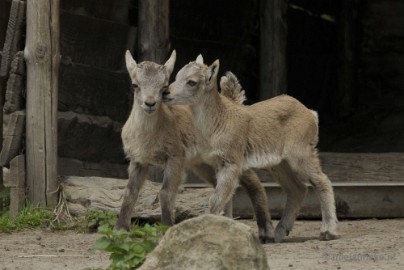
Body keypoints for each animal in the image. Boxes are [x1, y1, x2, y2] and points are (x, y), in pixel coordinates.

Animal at [117, 51, 274, 243]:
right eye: (135, 84)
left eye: (164, 85)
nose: (150, 103)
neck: (151, 136)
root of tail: (232, 102)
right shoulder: (138, 160)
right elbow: (130, 192)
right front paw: (120, 230)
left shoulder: (175, 156)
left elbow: (166, 193)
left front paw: (165, 230)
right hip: (204, 164)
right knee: (224, 188)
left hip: (233, 155)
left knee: (254, 183)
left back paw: (266, 233)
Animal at [163, 56, 338, 242]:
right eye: (177, 76)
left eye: (192, 82)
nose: (166, 93)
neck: (219, 122)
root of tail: (311, 114)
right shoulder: (219, 165)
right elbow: (225, 199)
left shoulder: (231, 162)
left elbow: (216, 200)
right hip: (279, 164)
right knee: (297, 189)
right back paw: (278, 234)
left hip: (301, 155)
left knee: (322, 181)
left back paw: (328, 231)